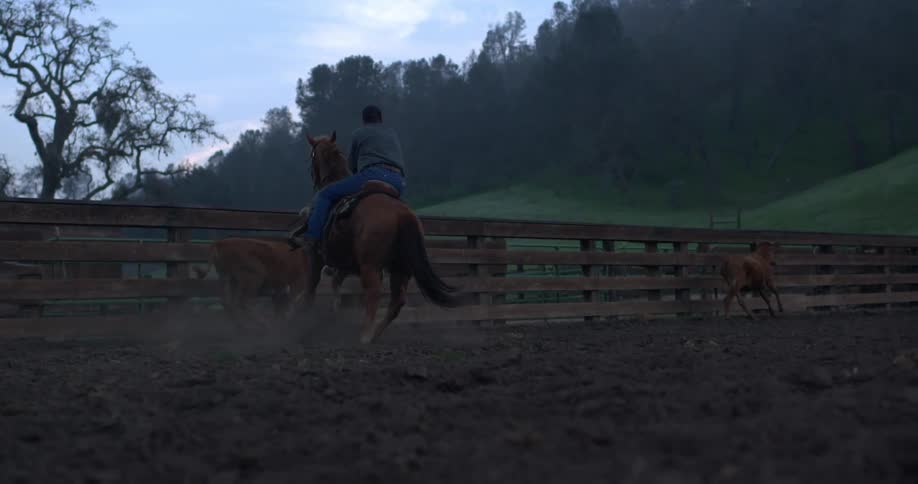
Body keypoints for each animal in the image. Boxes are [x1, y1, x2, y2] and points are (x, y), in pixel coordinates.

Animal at [290, 131, 460, 343]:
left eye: (311, 156)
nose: (313, 177)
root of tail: (401, 213)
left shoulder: (316, 255)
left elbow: (311, 285)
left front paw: (298, 311)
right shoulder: (345, 264)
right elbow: (334, 282)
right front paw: (332, 310)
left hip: (370, 266)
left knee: (374, 293)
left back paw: (364, 335)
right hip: (401, 266)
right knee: (397, 300)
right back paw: (375, 333)